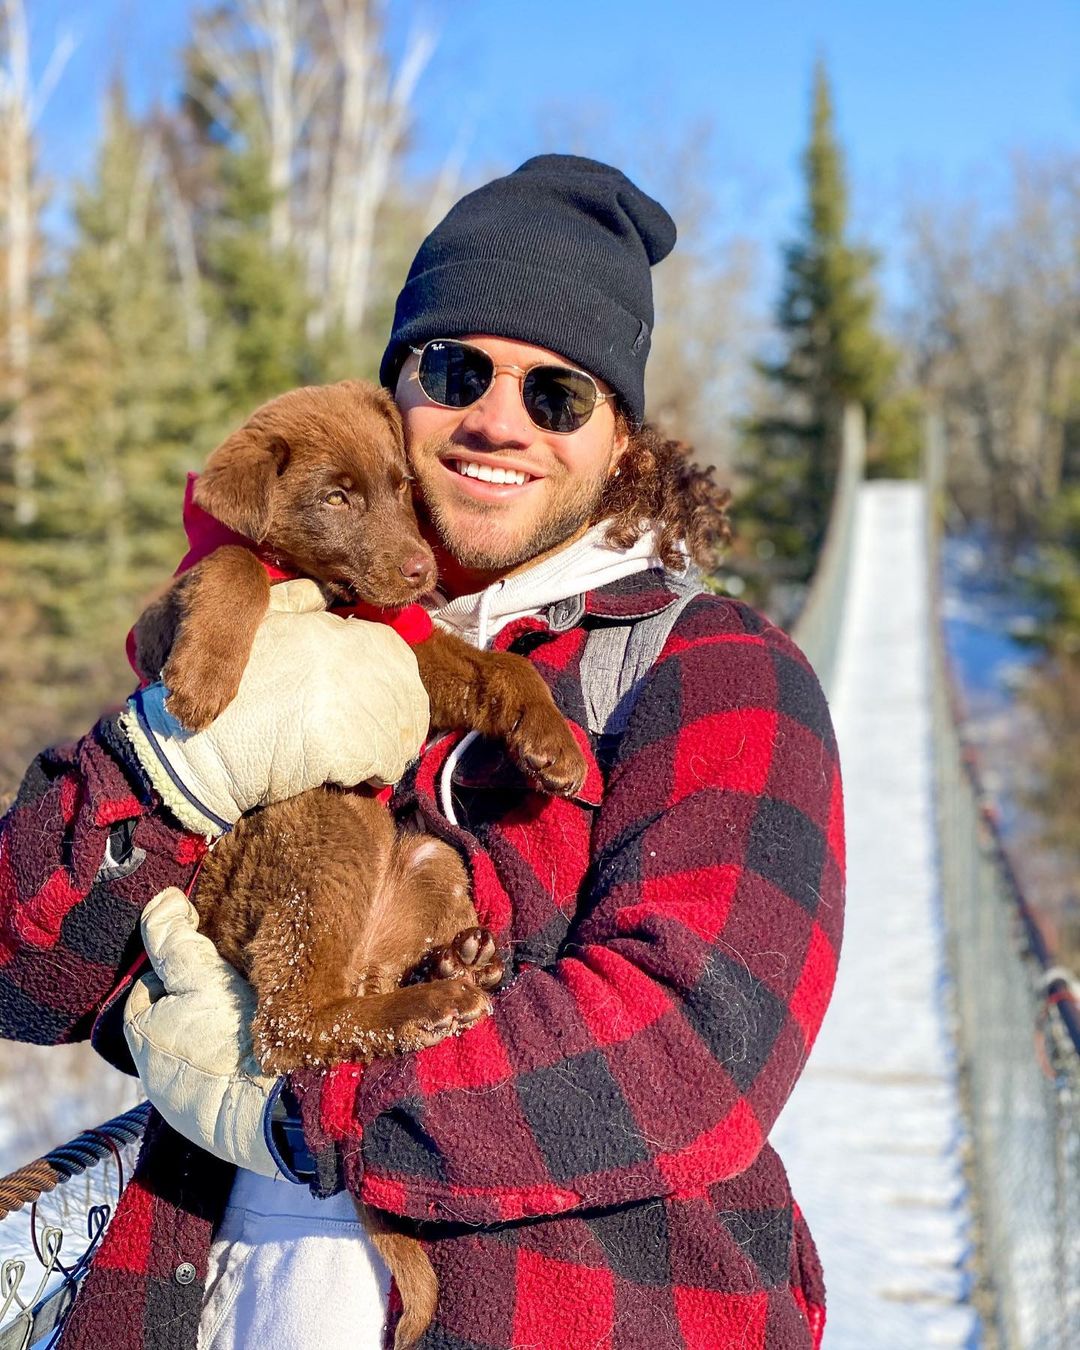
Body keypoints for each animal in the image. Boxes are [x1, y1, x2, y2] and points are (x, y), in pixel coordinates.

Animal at [135, 383, 591, 1350]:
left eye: (400, 487)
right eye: (336, 498)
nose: (422, 573)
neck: (342, 601)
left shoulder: (405, 645)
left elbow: (491, 668)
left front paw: (553, 743)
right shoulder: (163, 614)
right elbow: (231, 563)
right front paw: (203, 677)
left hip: (425, 854)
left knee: (335, 1004)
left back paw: (461, 968)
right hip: (326, 822)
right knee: (289, 1023)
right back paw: (439, 999)